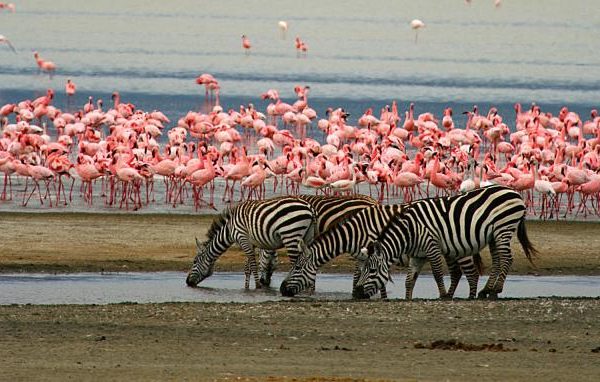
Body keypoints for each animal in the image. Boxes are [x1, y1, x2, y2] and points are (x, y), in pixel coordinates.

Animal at [186, 195, 318, 288]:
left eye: (194, 261)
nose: (187, 282)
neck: (229, 229)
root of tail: (309, 207)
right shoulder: (251, 243)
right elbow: (247, 267)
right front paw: (246, 287)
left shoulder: (242, 238)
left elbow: (253, 265)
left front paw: (257, 285)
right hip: (307, 237)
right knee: (309, 260)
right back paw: (309, 288)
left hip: (291, 234)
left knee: (296, 262)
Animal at [278, 203, 406, 298]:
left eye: (297, 267)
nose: (282, 290)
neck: (355, 234)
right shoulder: (362, 257)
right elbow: (358, 277)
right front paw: (355, 295)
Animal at [354, 184, 536, 300]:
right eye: (363, 269)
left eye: (372, 270)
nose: (358, 293)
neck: (410, 231)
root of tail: (513, 192)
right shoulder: (417, 255)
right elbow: (409, 280)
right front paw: (408, 298)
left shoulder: (431, 246)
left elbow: (437, 273)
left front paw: (443, 295)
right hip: (493, 235)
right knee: (497, 260)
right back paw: (487, 290)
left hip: (503, 228)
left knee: (507, 259)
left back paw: (496, 289)